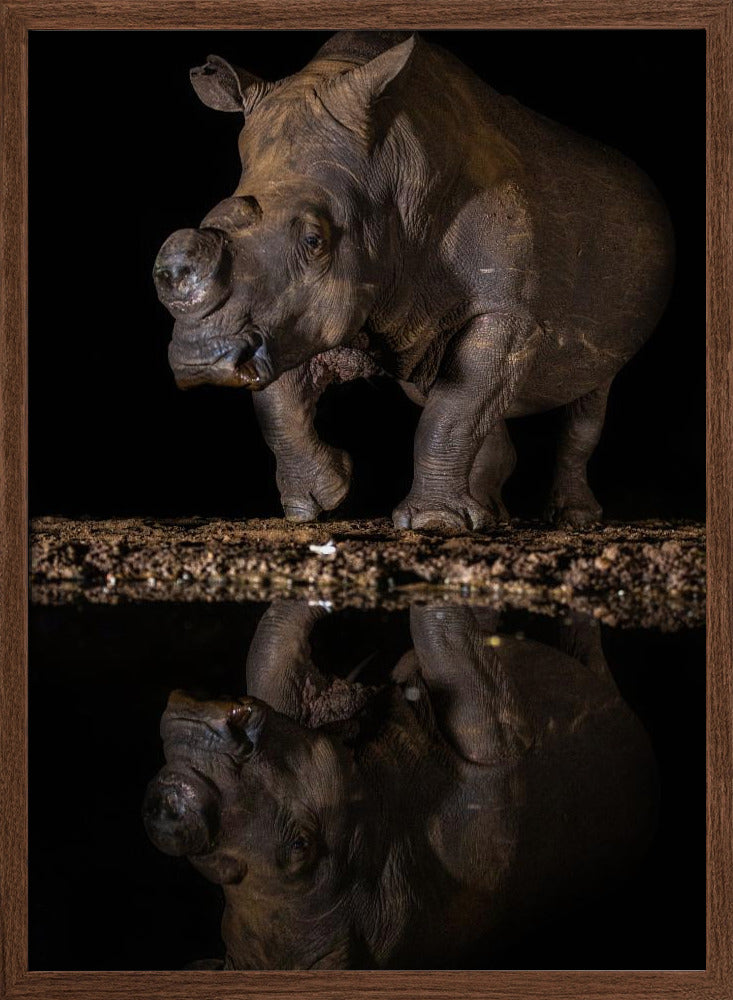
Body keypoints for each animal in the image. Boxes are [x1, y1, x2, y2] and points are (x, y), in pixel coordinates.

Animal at [153, 31, 673, 531]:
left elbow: (453, 411)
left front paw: (433, 523)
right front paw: (319, 502)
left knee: (589, 397)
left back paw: (571, 519)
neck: (386, 170)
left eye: (314, 241)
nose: (200, 360)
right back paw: (490, 515)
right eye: (211, 219)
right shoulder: (293, 308)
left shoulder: (507, 312)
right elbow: (278, 399)